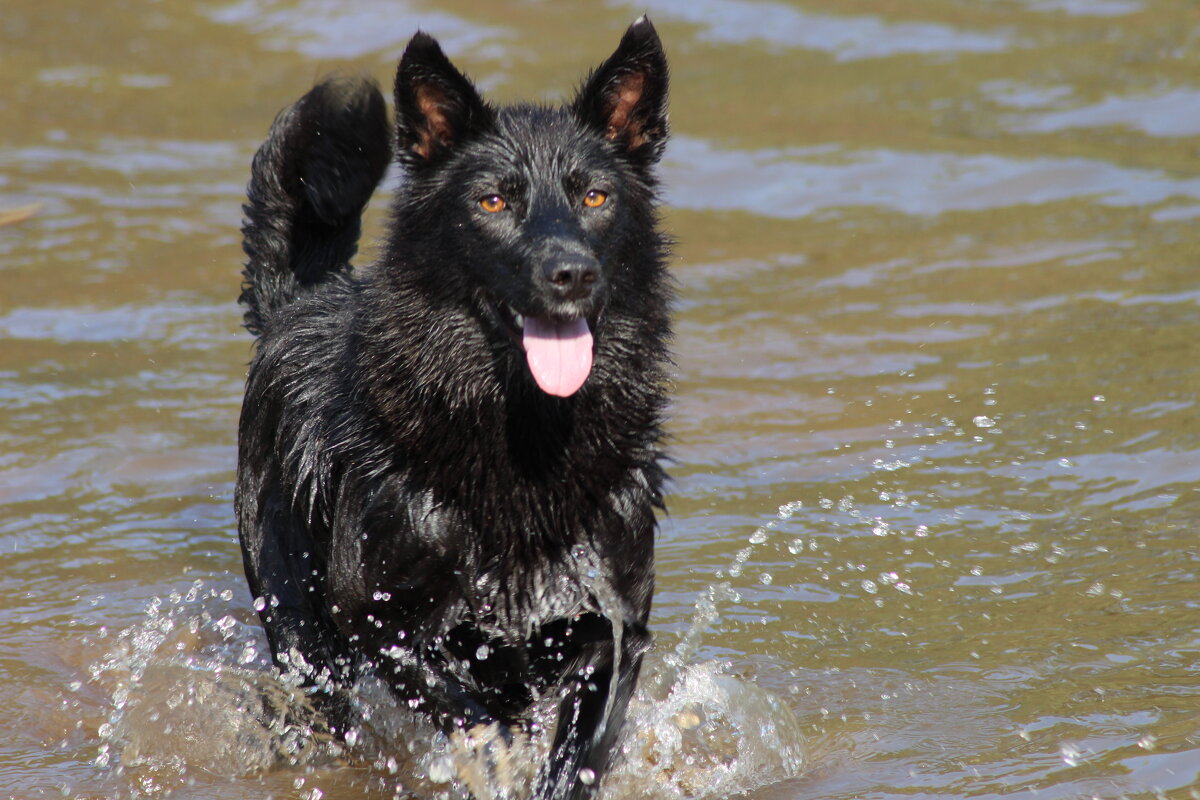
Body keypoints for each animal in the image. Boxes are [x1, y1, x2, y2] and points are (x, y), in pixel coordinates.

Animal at [231, 18, 667, 800]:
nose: (572, 274)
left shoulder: (616, 621)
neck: (525, 443)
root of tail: (304, 298)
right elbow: (474, 717)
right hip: (300, 632)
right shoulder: (375, 620)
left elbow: (584, 731)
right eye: (492, 202)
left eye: (595, 197)